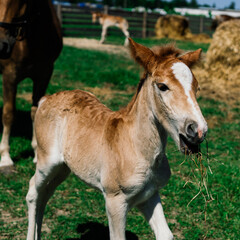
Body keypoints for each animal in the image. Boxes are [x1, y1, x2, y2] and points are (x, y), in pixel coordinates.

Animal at [0, 0, 62, 169]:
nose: (1, 45)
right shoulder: (9, 75)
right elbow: (8, 114)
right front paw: (5, 158)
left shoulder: (44, 75)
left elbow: (35, 111)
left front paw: (36, 152)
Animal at [25, 38, 207, 240]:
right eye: (162, 86)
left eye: (197, 88)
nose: (198, 130)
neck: (138, 148)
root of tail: (46, 99)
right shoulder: (115, 200)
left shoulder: (149, 195)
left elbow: (165, 234)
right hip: (47, 162)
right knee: (33, 192)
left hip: (63, 168)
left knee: (45, 194)